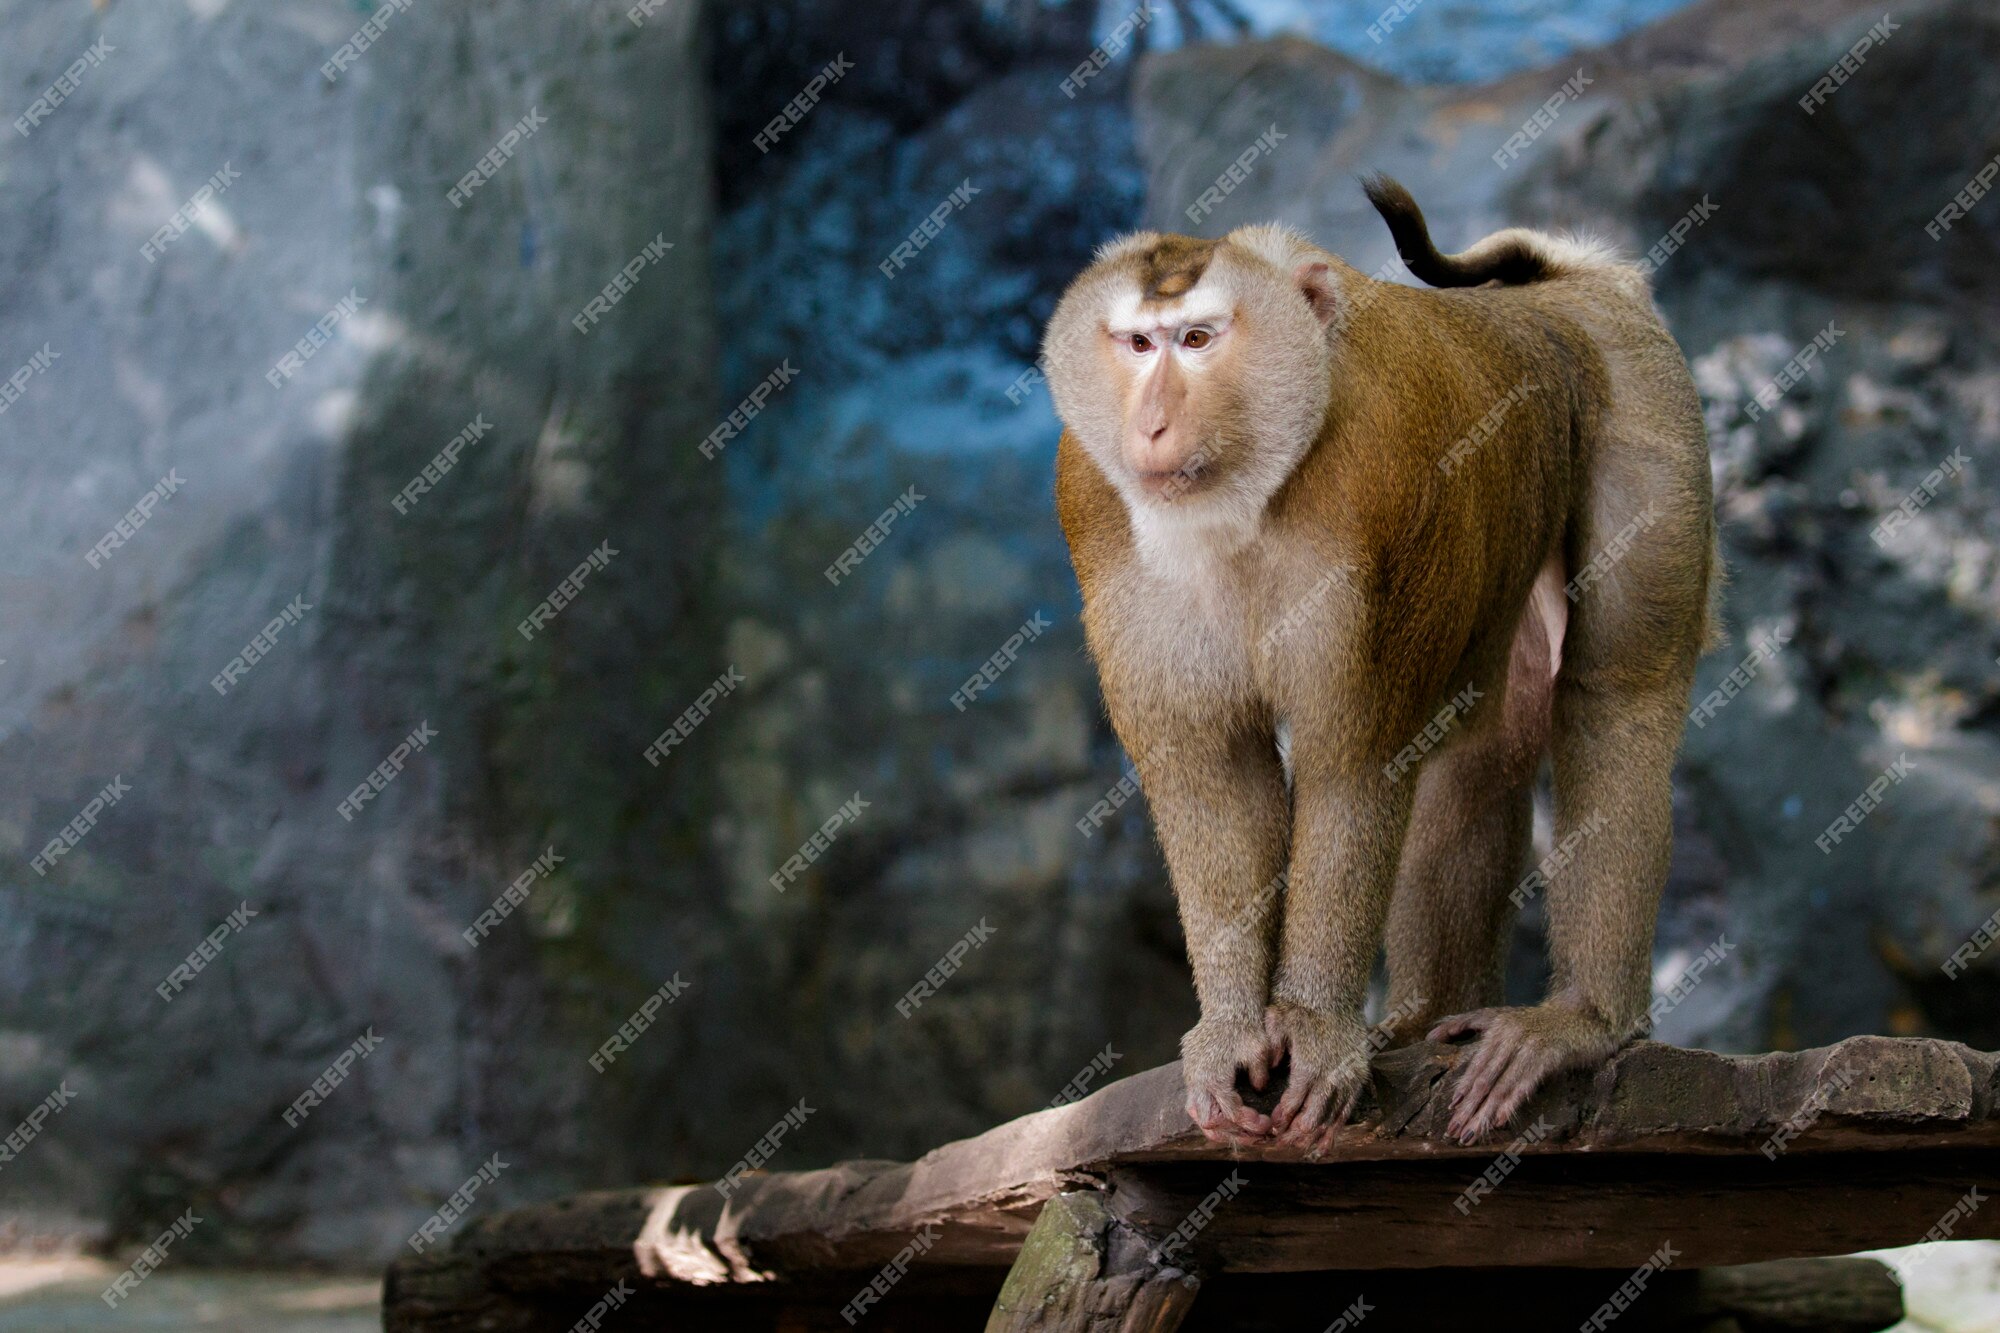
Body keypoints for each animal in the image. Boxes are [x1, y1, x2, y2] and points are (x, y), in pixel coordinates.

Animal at [1040, 176, 1712, 1144]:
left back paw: (1579, 1021)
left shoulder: (1378, 491)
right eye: (1137, 343)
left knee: (1618, 695)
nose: (1154, 424)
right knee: (1481, 751)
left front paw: (1316, 1026)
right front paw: (1234, 1029)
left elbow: (1353, 763)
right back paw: (1427, 1014)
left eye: (1198, 339)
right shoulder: (1094, 503)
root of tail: (1565, 291)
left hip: (1647, 402)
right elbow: (1214, 773)